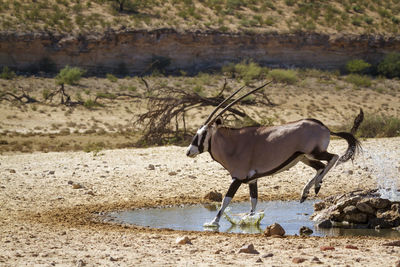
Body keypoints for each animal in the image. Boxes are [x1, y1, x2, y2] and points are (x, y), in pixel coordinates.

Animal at [184, 82, 362, 228]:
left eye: (203, 134)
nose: (189, 151)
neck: (233, 143)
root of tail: (324, 127)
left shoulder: (237, 178)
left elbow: (226, 199)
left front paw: (213, 222)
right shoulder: (252, 180)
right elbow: (253, 200)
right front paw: (250, 219)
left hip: (313, 152)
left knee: (333, 158)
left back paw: (315, 187)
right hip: (304, 158)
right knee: (320, 166)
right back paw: (307, 192)